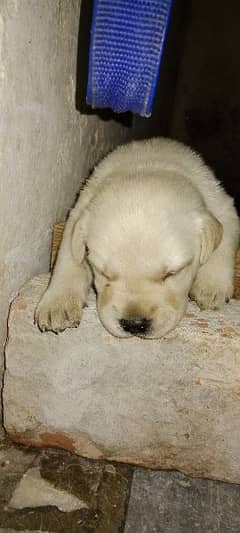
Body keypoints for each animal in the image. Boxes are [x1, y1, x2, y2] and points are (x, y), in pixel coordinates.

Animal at [34, 137, 239, 336]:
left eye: (172, 273)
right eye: (103, 273)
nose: (134, 324)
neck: (149, 166)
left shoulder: (223, 205)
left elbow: (224, 239)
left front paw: (211, 287)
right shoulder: (78, 213)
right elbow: (68, 256)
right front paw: (58, 303)